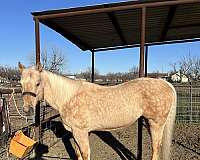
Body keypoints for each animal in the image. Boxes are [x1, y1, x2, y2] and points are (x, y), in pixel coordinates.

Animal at [18, 62, 176, 160]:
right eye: (20, 83)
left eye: (38, 83)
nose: (27, 109)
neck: (69, 97)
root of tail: (165, 83)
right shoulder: (76, 133)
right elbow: (78, 154)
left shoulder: (80, 132)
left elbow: (85, 154)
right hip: (149, 122)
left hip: (156, 123)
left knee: (156, 147)